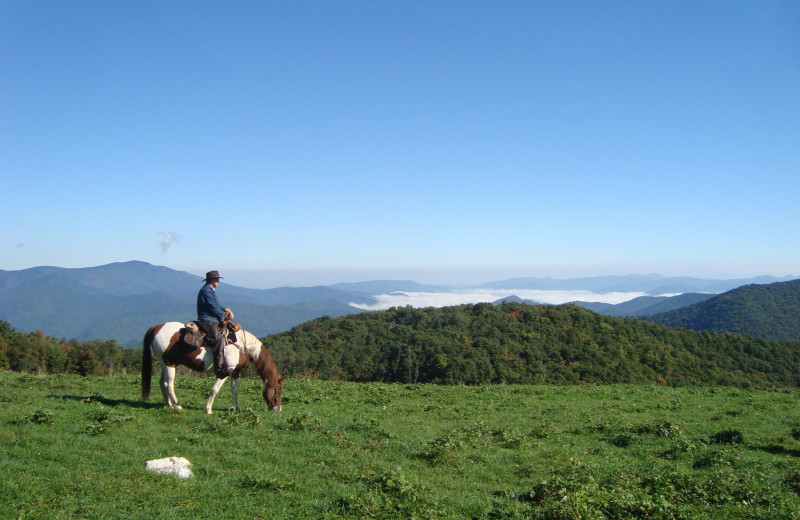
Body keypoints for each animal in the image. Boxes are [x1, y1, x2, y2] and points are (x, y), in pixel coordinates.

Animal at [141, 320, 284, 414]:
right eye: (278, 391)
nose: (278, 409)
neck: (242, 345)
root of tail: (156, 327)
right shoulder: (225, 372)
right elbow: (214, 389)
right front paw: (208, 409)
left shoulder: (235, 373)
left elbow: (235, 391)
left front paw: (237, 408)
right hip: (169, 364)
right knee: (169, 385)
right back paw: (178, 406)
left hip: (165, 363)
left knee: (162, 383)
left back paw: (169, 405)